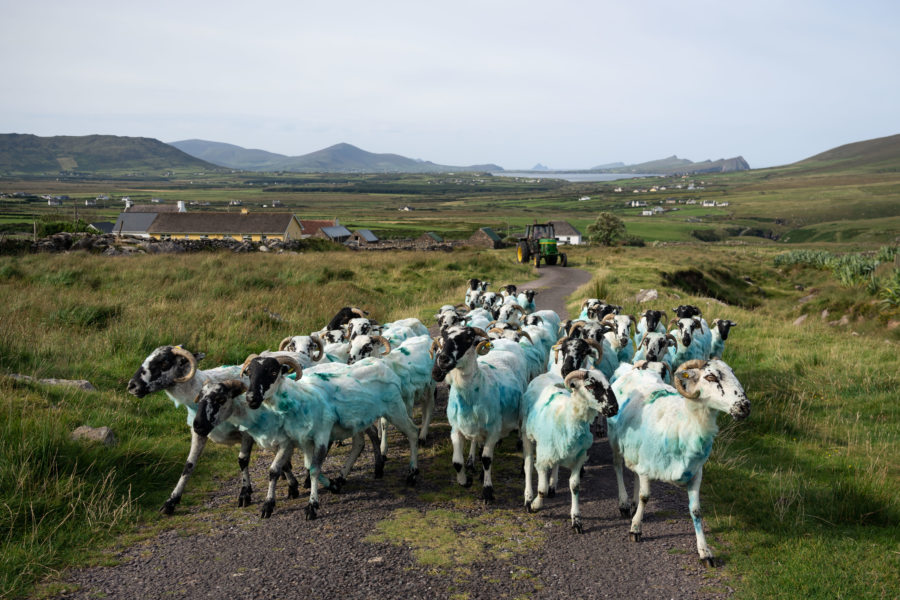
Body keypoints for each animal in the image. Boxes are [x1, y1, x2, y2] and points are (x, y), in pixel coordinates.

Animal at [126, 346, 302, 516]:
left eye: (164, 363)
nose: (131, 386)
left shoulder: (247, 433)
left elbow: (243, 460)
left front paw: (245, 494)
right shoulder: (199, 432)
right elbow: (189, 465)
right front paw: (171, 502)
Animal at [239, 354, 422, 516]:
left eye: (272, 371)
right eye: (249, 372)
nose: (251, 398)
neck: (299, 397)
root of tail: (381, 363)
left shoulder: (321, 434)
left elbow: (314, 469)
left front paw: (312, 506)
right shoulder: (302, 439)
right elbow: (298, 467)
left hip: (395, 408)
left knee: (413, 432)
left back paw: (412, 474)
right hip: (358, 420)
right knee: (360, 443)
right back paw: (346, 477)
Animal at [430, 326, 528, 504]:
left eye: (468, 339)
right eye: (444, 338)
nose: (443, 360)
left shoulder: (493, 430)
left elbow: (487, 460)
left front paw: (487, 491)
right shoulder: (456, 429)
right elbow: (457, 462)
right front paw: (465, 481)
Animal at [604, 358, 752, 564]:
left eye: (732, 373)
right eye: (711, 377)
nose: (745, 407)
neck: (683, 423)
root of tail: (630, 369)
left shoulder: (696, 472)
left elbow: (696, 511)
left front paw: (705, 551)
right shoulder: (647, 466)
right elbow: (645, 497)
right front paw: (635, 529)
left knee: (634, 474)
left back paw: (633, 505)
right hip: (615, 440)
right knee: (618, 467)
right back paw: (625, 504)